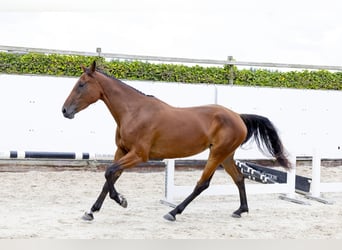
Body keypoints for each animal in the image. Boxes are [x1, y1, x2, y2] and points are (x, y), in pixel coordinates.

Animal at [62, 61, 292, 222]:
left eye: (81, 85)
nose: (65, 111)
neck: (134, 112)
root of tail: (238, 117)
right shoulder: (122, 151)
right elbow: (111, 176)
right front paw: (91, 211)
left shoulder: (139, 155)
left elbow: (109, 172)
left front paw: (122, 201)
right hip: (226, 156)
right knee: (239, 178)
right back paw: (240, 210)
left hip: (216, 154)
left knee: (202, 184)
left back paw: (173, 212)